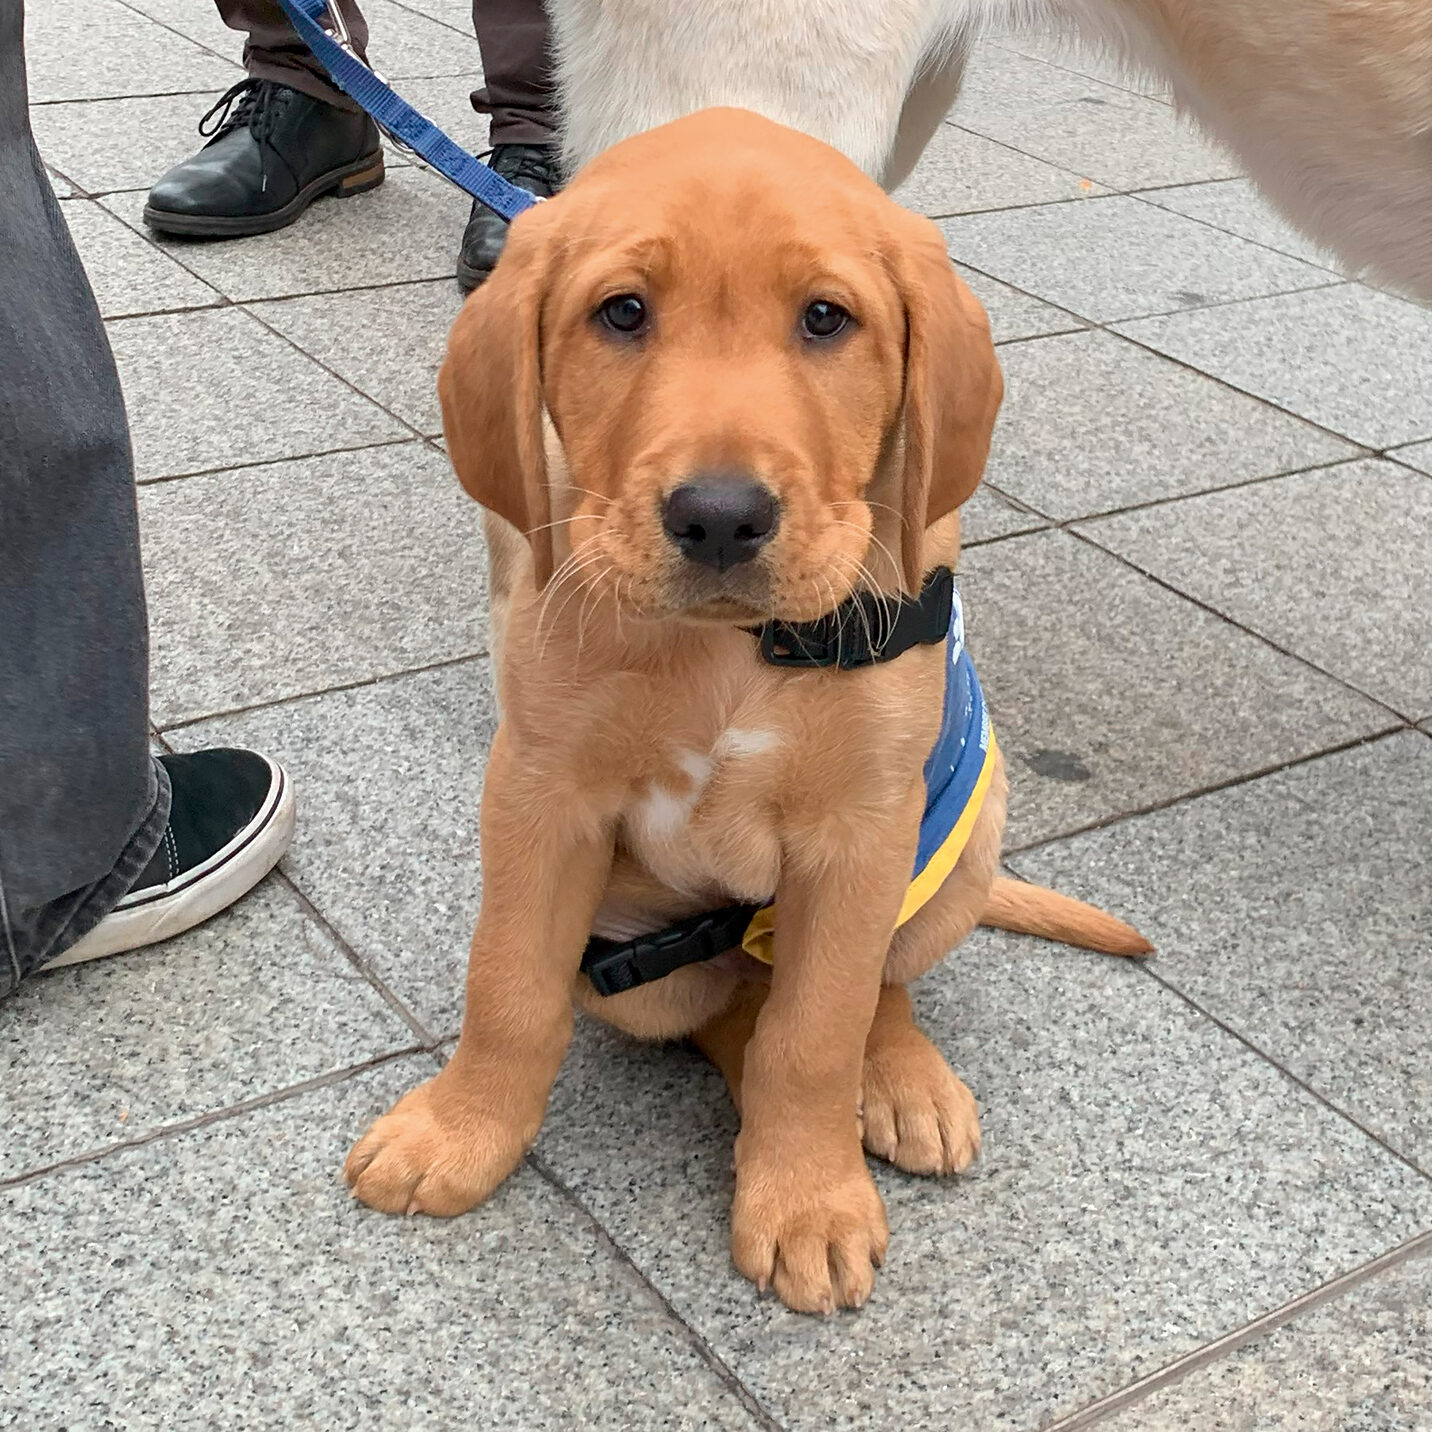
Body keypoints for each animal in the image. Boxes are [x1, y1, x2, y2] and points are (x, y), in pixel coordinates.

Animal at [340, 114, 1145, 1317]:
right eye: (623, 313)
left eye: (825, 319)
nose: (719, 517)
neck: (730, 657)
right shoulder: (540, 796)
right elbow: (509, 985)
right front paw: (460, 1128)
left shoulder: (860, 835)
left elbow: (818, 1031)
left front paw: (808, 1196)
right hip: (635, 958)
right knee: (730, 1006)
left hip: (967, 836)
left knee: (869, 988)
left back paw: (900, 1083)